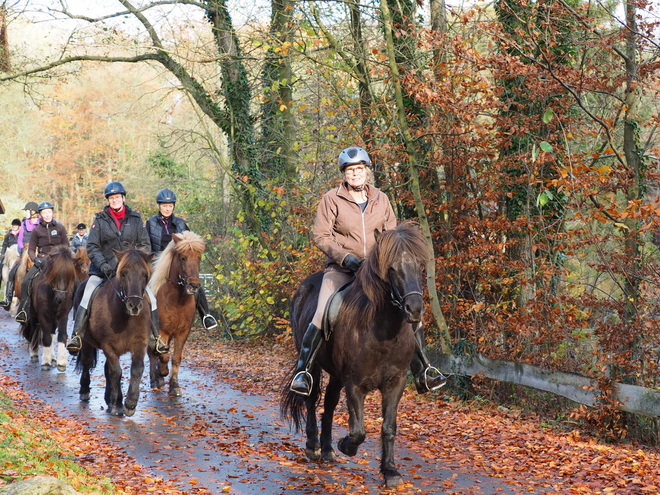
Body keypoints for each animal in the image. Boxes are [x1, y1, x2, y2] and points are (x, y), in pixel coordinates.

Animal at [74, 250, 154, 416]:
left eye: (145, 275)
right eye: (123, 274)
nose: (134, 305)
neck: (126, 317)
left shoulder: (140, 343)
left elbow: (136, 369)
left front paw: (130, 404)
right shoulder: (108, 345)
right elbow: (116, 372)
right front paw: (118, 404)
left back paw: (108, 399)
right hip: (86, 342)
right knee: (87, 362)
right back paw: (85, 391)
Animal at [150, 232, 206, 400]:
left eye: (199, 257)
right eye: (182, 258)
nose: (194, 285)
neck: (177, 301)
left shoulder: (183, 332)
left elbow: (176, 358)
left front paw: (174, 386)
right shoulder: (162, 331)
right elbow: (163, 356)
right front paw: (161, 373)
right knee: (152, 354)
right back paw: (155, 379)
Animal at [282, 223, 430, 490]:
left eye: (419, 265)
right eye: (390, 268)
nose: (414, 310)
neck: (383, 331)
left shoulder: (396, 383)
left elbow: (388, 426)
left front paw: (390, 471)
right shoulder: (354, 383)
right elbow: (359, 430)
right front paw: (346, 446)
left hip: (336, 374)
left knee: (329, 403)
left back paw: (327, 449)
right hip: (313, 364)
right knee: (311, 398)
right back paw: (314, 447)